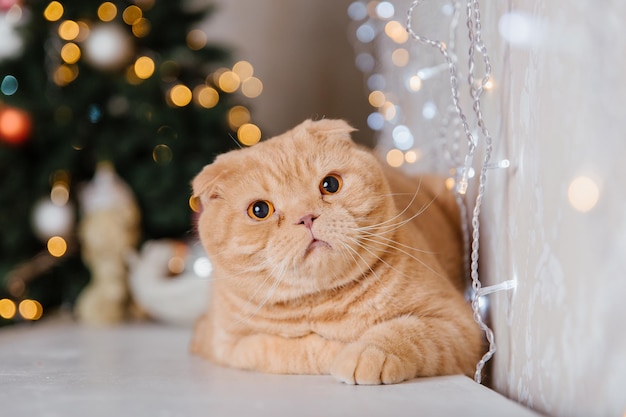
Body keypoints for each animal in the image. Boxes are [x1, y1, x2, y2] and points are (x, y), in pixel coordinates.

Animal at [193, 117, 480, 384]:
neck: (324, 304)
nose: (306, 217)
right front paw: (338, 349)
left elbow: (405, 330)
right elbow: (296, 350)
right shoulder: (229, 346)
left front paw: (367, 352)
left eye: (330, 184)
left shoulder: (459, 324)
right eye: (260, 210)